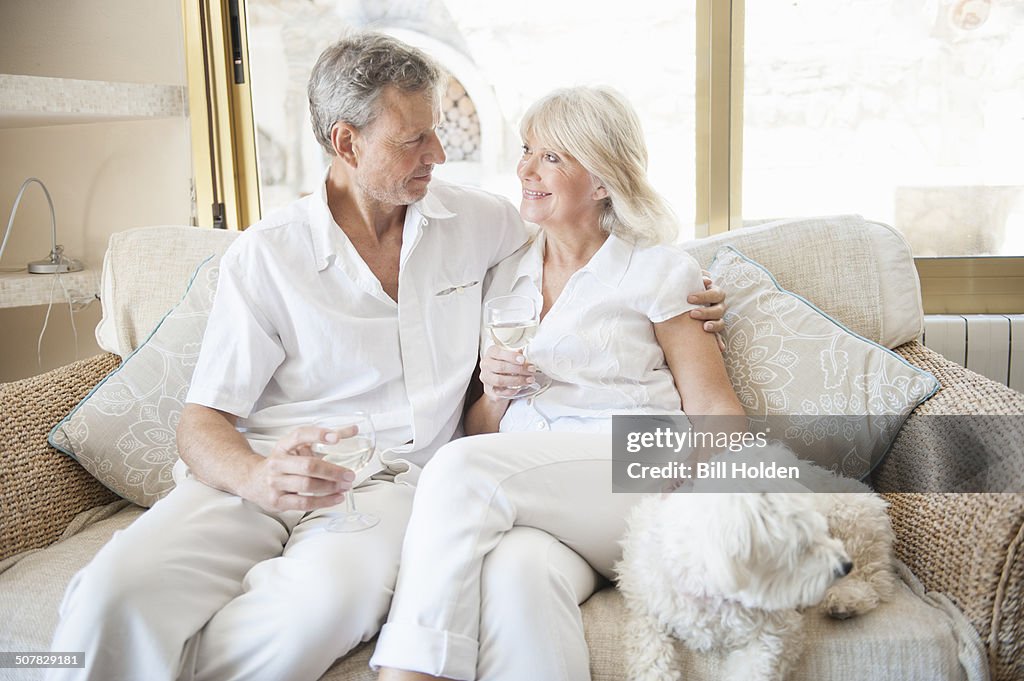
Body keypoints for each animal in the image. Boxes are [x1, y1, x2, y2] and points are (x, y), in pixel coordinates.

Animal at [614, 444, 897, 675]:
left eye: (820, 530)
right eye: (801, 544)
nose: (843, 565)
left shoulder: (777, 632)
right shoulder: (644, 608)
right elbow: (648, 649)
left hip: (852, 516)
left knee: (873, 579)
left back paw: (847, 599)